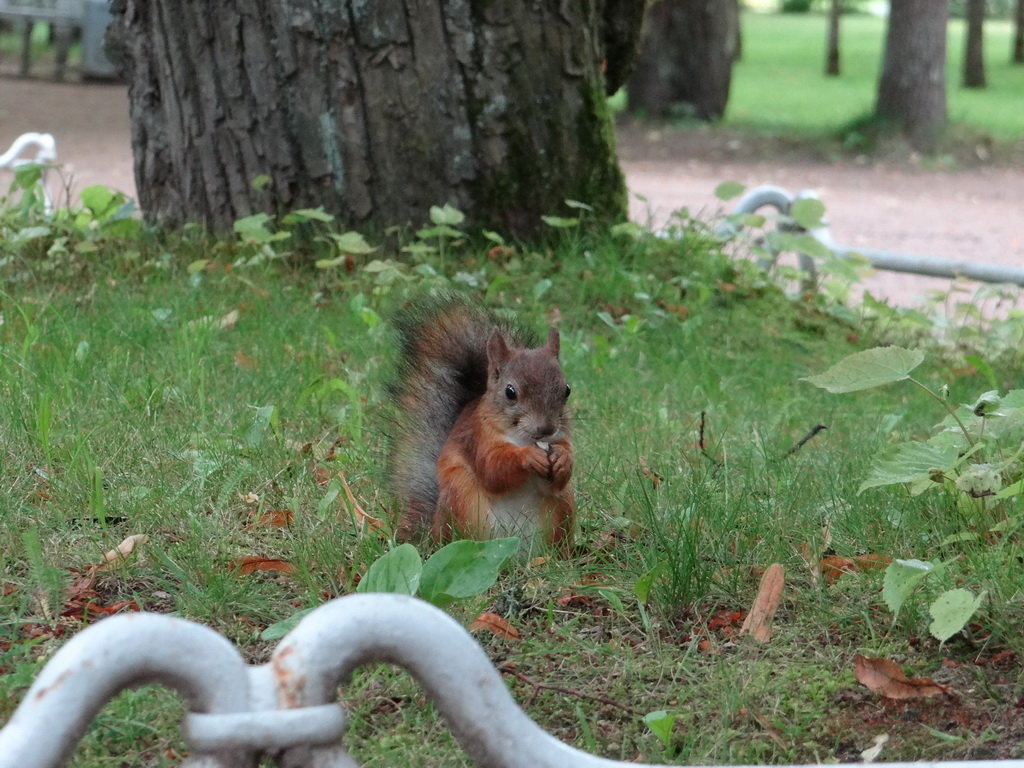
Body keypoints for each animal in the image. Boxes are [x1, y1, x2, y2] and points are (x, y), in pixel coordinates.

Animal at [389, 301, 573, 548]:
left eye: (567, 389)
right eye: (510, 392)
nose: (546, 429)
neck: (523, 438)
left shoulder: (562, 438)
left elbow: (556, 480)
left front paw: (563, 458)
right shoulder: (477, 438)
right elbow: (492, 469)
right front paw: (528, 457)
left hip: (562, 509)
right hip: (460, 495)